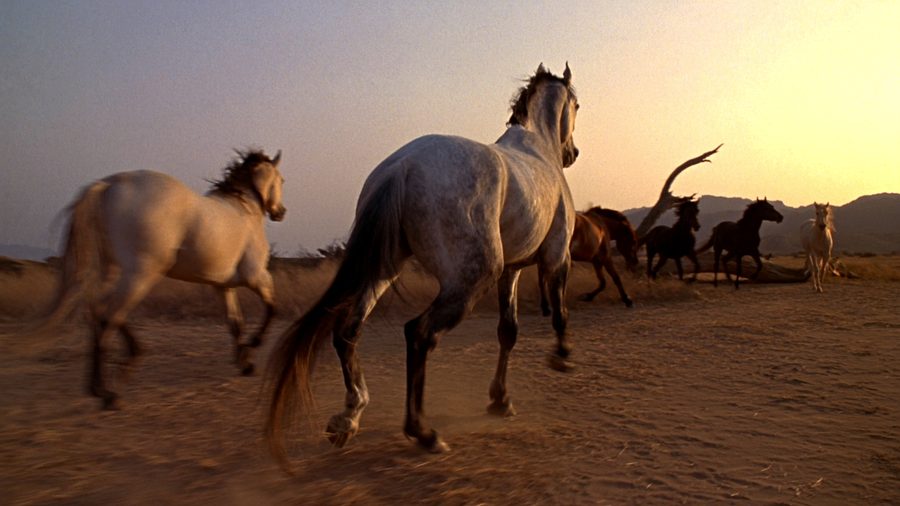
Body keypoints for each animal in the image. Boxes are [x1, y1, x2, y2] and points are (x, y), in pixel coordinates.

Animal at [38, 149, 285, 409]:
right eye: (281, 180)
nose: (281, 212)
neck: (244, 210)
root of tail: (109, 184)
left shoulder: (223, 286)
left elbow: (235, 323)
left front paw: (245, 363)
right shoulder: (256, 276)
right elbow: (272, 309)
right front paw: (253, 346)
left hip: (113, 270)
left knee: (99, 311)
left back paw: (107, 380)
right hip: (141, 274)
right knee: (110, 316)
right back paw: (111, 389)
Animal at [265, 63, 579, 462]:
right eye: (577, 104)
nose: (572, 153)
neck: (538, 149)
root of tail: (403, 167)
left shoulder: (512, 270)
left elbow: (508, 332)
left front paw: (501, 401)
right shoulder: (556, 258)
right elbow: (559, 313)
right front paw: (562, 357)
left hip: (384, 270)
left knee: (348, 330)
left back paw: (348, 419)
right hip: (468, 281)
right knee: (418, 333)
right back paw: (423, 432)